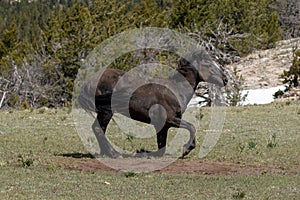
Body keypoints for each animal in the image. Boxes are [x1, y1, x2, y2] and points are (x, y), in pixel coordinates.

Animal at [78, 49, 227, 157]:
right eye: (208, 63)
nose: (225, 79)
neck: (175, 89)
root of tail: (89, 81)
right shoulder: (170, 119)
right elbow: (191, 127)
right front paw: (185, 149)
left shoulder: (163, 126)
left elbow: (161, 147)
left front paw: (143, 151)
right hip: (106, 112)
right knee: (98, 129)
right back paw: (114, 154)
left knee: (99, 129)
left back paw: (106, 153)